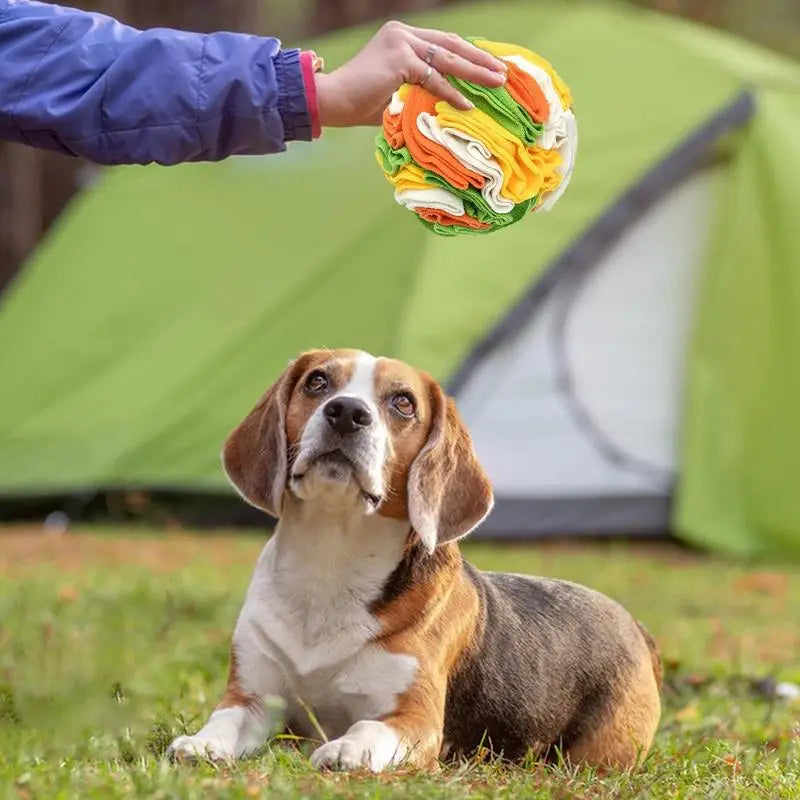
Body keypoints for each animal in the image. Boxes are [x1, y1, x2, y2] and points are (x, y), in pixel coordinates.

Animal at [166, 348, 660, 768]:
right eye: (317, 381)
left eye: (403, 402)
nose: (347, 412)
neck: (331, 561)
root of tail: (633, 624)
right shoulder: (251, 696)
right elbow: (225, 719)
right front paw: (201, 743)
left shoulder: (415, 720)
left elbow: (367, 728)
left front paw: (345, 750)